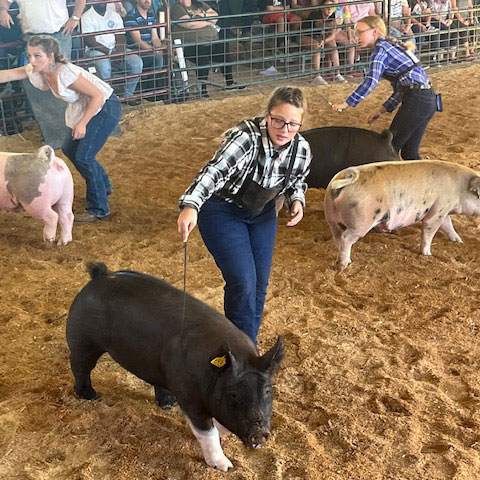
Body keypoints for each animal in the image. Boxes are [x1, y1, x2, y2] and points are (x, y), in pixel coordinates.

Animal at [322, 160, 480, 270]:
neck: (460, 189)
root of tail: (344, 179)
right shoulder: (438, 211)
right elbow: (429, 231)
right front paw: (427, 254)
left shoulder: (443, 211)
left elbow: (448, 225)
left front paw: (459, 241)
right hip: (360, 222)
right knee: (346, 238)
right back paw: (344, 264)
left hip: (331, 217)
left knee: (337, 236)